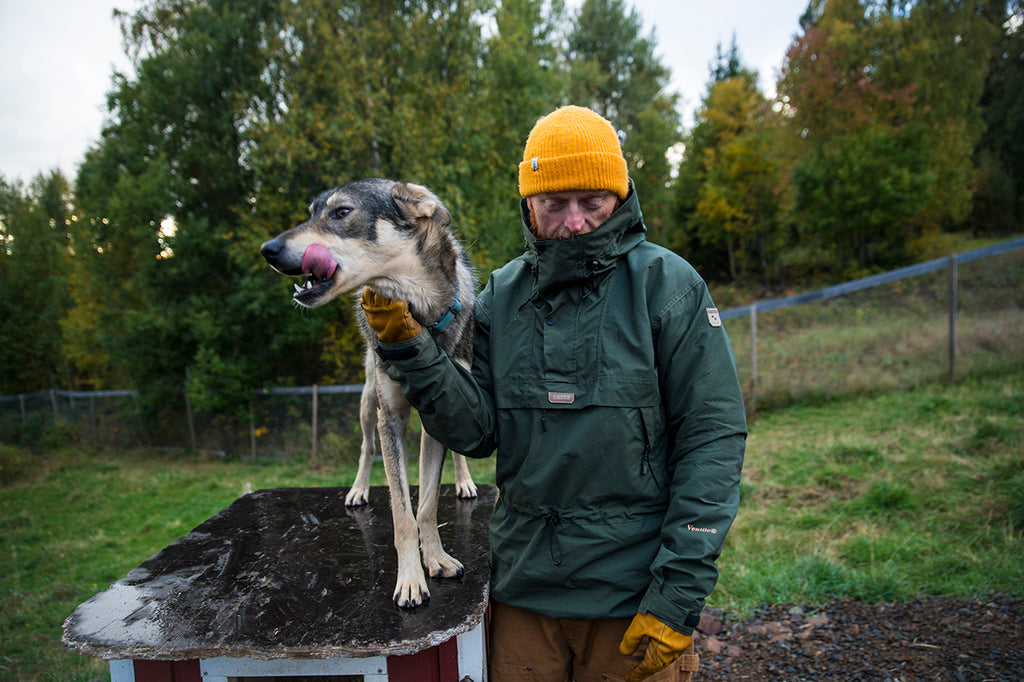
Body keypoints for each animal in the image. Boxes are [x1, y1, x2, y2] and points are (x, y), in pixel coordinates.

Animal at [260, 176, 475, 606]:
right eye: (311, 213)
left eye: (341, 212)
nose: (267, 250)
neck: (419, 315)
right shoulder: (389, 417)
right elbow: (402, 512)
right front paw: (410, 579)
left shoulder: (440, 414)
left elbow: (426, 506)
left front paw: (436, 558)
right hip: (367, 403)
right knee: (364, 449)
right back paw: (358, 490)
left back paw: (464, 481)